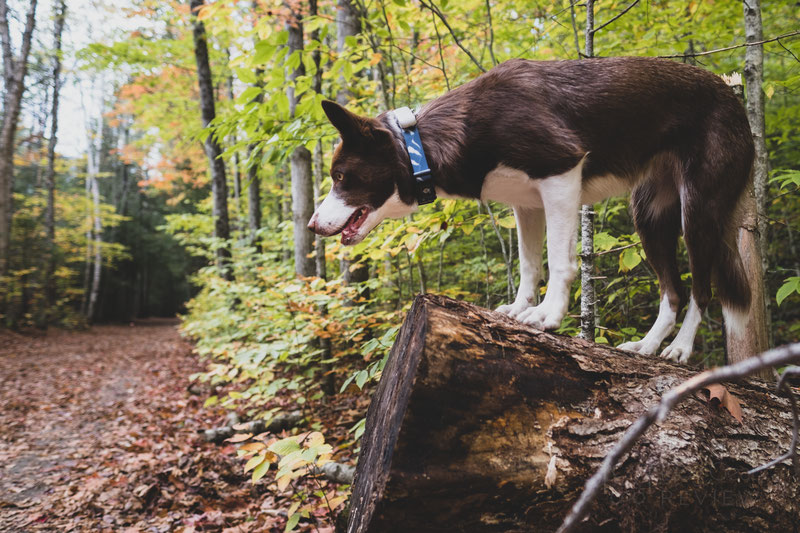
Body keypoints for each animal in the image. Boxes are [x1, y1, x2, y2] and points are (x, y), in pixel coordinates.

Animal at [306, 57, 752, 362]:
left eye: (341, 176)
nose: (311, 225)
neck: (425, 146)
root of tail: (733, 96)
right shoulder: (527, 204)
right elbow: (529, 264)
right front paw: (520, 308)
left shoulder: (561, 174)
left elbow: (560, 261)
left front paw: (548, 316)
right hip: (649, 215)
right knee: (672, 290)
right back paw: (648, 344)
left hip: (697, 212)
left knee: (702, 289)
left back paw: (680, 349)